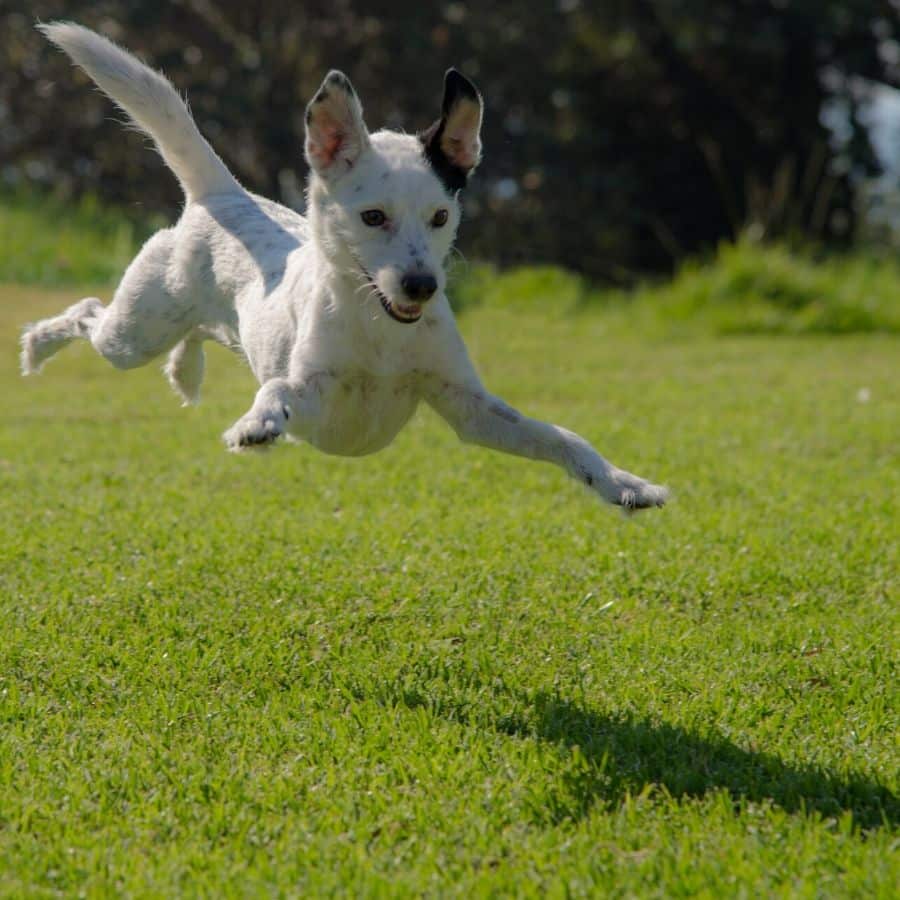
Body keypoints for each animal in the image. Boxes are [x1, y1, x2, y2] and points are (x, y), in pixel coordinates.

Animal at [21, 21, 668, 510]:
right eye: (373, 217)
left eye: (440, 216)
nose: (422, 285)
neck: (381, 331)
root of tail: (223, 195)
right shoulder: (315, 393)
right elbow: (278, 389)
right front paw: (257, 423)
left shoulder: (471, 409)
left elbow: (562, 437)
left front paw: (622, 484)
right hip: (134, 332)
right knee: (87, 312)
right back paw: (37, 346)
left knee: (194, 334)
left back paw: (185, 370)